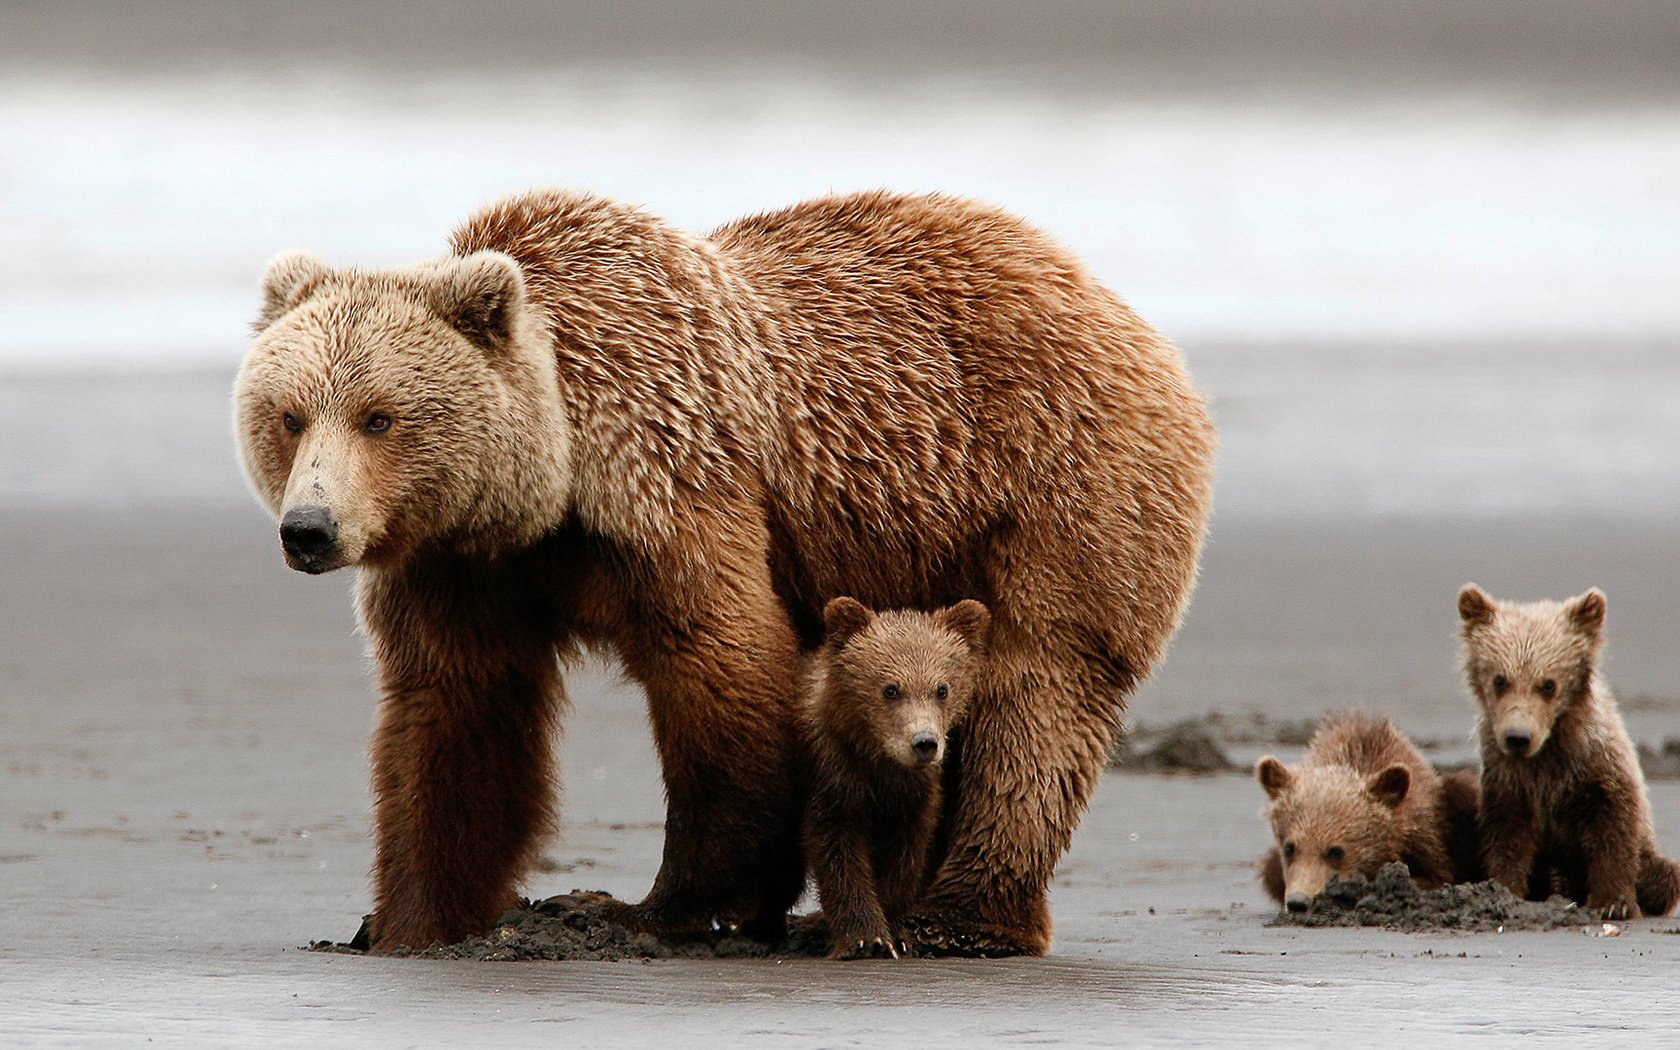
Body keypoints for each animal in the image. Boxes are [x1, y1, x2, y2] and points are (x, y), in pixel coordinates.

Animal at [233, 186, 1209, 947]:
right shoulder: (462, 564)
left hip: (1056, 489)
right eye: (289, 413)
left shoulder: (671, 481)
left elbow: (721, 663)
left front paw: (657, 905)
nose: (310, 529)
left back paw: (961, 917)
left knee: (1038, 693)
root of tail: (1125, 313)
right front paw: (411, 918)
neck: (553, 482)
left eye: (380, 416)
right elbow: (456, 711)